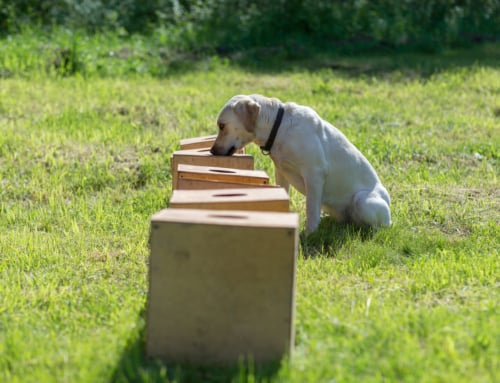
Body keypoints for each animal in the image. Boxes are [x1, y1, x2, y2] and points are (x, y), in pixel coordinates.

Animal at [209, 95, 392, 234]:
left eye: (222, 125)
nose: (211, 151)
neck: (280, 128)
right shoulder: (281, 172)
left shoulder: (314, 175)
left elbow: (310, 208)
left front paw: (310, 233)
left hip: (363, 201)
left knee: (378, 226)